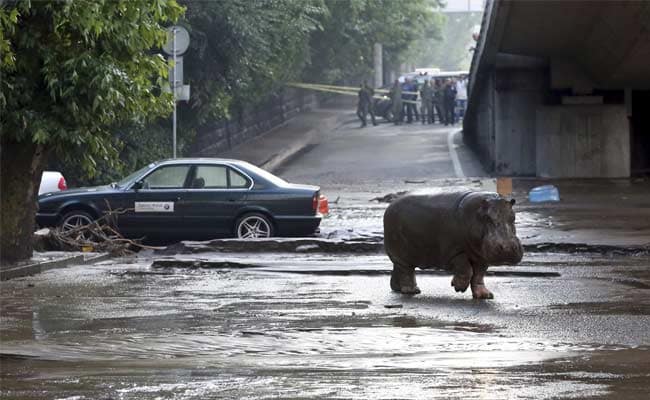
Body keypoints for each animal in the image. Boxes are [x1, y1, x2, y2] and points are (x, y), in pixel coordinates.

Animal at [382, 191, 524, 300]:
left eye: (513, 217)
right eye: (487, 218)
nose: (507, 248)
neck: (476, 213)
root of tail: (389, 206)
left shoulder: (481, 257)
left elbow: (478, 275)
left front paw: (485, 296)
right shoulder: (454, 252)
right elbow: (466, 269)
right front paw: (458, 287)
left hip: (402, 256)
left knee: (400, 270)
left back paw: (398, 289)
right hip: (402, 254)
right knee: (407, 272)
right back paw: (413, 291)